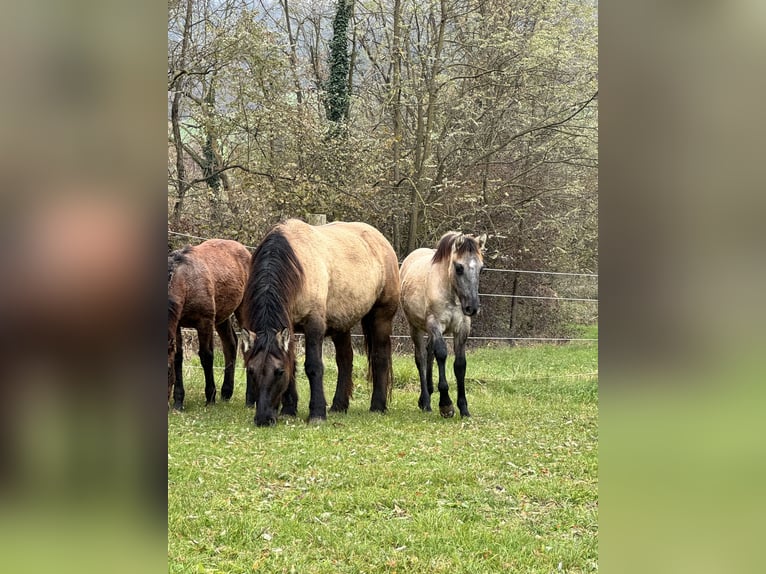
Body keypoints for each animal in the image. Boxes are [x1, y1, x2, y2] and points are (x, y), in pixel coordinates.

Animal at [168, 241, 252, 412]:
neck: (186, 280)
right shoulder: (178, 324)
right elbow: (178, 357)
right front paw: (178, 401)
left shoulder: (205, 323)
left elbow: (206, 356)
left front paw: (210, 397)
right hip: (222, 317)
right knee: (230, 344)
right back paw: (226, 392)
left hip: (242, 311)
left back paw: (249, 399)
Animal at [242, 219, 402, 428]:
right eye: (251, 370)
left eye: (279, 371)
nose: (263, 418)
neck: (296, 265)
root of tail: (381, 240)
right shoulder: (289, 327)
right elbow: (293, 362)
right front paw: (289, 410)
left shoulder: (314, 324)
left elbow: (313, 366)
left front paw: (317, 413)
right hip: (342, 325)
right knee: (345, 360)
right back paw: (339, 405)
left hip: (381, 316)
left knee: (380, 358)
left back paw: (378, 406)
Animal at [400, 233, 488, 418]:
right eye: (459, 267)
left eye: (481, 269)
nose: (472, 307)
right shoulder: (435, 325)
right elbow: (441, 354)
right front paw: (446, 405)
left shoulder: (462, 328)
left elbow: (460, 364)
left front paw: (464, 408)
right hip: (415, 327)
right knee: (421, 358)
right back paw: (425, 401)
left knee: (429, 352)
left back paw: (428, 392)